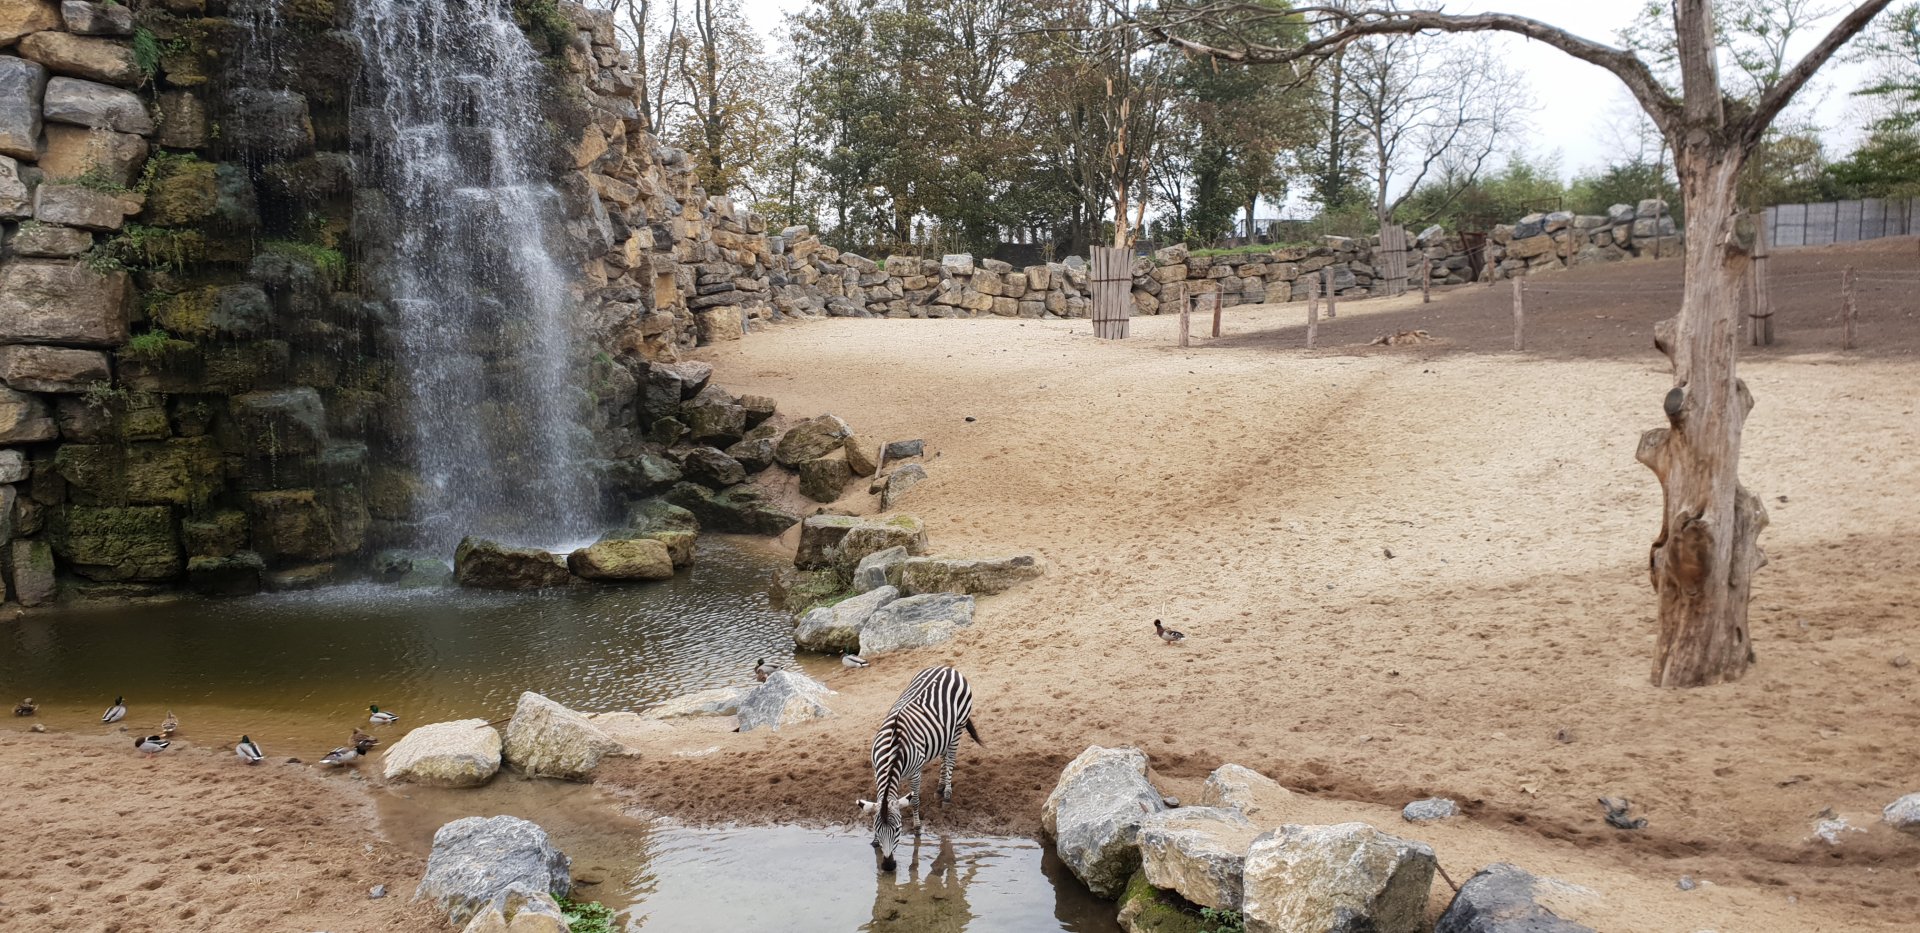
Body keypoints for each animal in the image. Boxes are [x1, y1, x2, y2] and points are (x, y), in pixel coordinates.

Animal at [858, 666, 981, 871]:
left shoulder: (915, 773)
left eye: (898, 829)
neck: (893, 752)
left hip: (958, 727)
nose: (888, 866)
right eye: (876, 829)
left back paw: (946, 793)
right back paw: (940, 786)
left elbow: (915, 801)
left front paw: (917, 828)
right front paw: (875, 841)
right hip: (944, 732)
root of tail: (948, 668)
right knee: (944, 755)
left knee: (951, 758)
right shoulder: (877, 771)